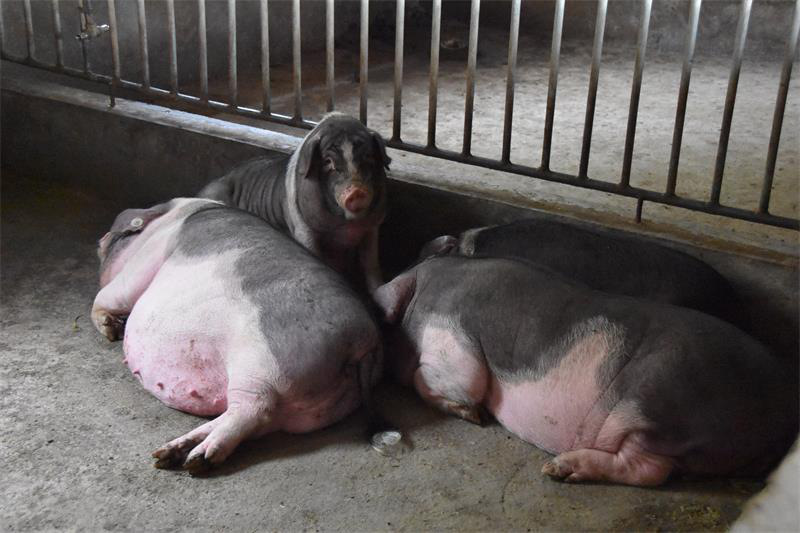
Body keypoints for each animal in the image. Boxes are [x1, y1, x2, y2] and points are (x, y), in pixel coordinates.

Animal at [92, 198, 382, 472]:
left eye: (118, 234)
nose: (101, 238)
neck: (167, 216)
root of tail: (363, 341)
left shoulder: (147, 258)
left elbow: (110, 295)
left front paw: (110, 328)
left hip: (265, 366)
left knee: (252, 410)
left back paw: (196, 460)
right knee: (250, 419)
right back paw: (168, 455)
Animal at [198, 112, 390, 294]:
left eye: (368, 156)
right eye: (327, 162)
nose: (356, 191)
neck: (347, 227)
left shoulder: (372, 228)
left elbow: (371, 265)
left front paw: (378, 289)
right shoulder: (302, 228)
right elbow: (315, 254)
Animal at [375, 255, 797, 486]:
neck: (422, 288)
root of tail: (781, 413)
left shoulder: (452, 339)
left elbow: (451, 382)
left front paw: (473, 415)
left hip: (651, 407)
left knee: (647, 470)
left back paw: (558, 468)